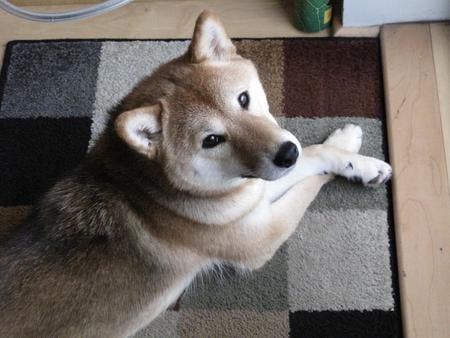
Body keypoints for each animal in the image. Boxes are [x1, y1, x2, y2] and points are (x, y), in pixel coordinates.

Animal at [0, 10, 392, 338]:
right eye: (212, 140)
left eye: (244, 99)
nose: (286, 153)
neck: (146, 188)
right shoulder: (261, 234)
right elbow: (309, 182)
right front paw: (351, 165)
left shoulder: (255, 189)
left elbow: (315, 155)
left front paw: (352, 154)